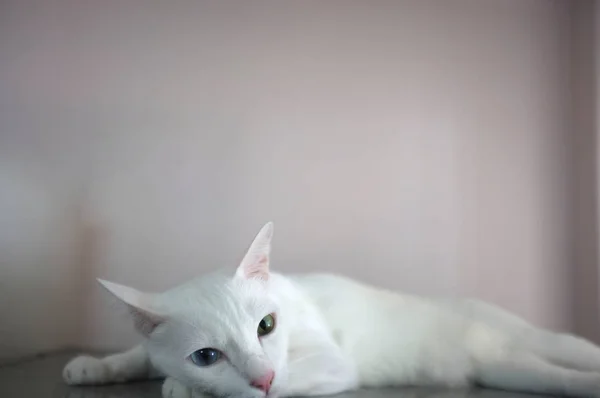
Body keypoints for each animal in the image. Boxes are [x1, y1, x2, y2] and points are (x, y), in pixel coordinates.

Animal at [62, 222, 600, 398]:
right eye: (207, 355)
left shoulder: (332, 363)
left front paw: (183, 388)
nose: (263, 378)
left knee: (573, 354)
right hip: (506, 369)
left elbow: (289, 380)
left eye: (267, 326)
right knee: (552, 374)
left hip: (528, 344)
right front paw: (94, 366)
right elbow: (139, 353)